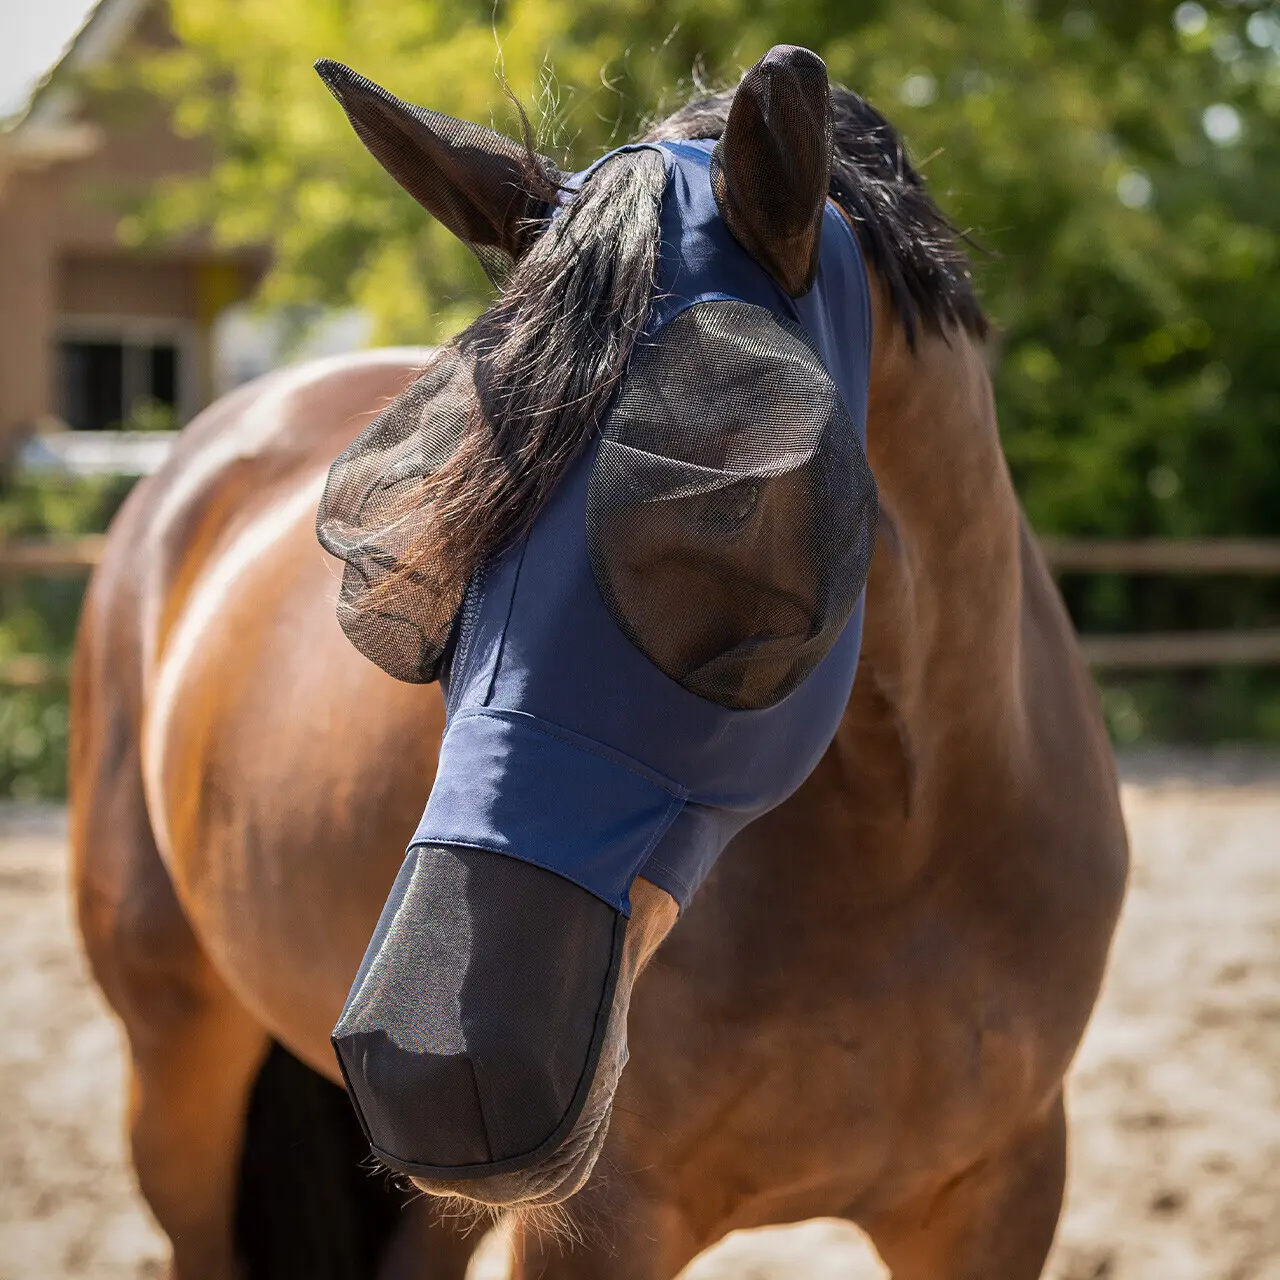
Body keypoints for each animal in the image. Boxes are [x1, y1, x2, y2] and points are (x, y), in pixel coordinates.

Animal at [70, 45, 1128, 1280]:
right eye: (413, 543)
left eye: (727, 503)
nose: (422, 1062)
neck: (910, 843)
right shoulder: (599, 1223)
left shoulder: (1002, 1190)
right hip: (176, 1069)